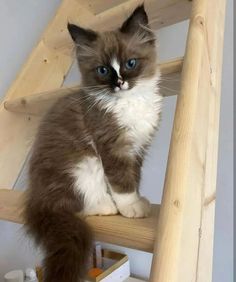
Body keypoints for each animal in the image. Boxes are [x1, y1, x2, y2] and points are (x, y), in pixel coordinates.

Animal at [24, 4, 163, 282]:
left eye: (130, 63)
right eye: (103, 70)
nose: (119, 83)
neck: (128, 103)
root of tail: (38, 199)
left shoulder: (137, 148)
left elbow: (134, 178)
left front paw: (138, 200)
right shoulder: (112, 146)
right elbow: (121, 182)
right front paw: (130, 206)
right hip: (82, 164)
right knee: (78, 204)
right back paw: (105, 206)